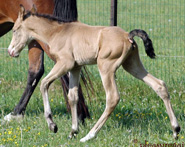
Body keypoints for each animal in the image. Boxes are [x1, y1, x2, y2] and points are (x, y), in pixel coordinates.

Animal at [7, 6, 180, 142]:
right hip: (132, 65)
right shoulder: (75, 68)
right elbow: (73, 96)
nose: (10, 51)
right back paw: (176, 130)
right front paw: (73, 131)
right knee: (159, 85)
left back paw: (89, 135)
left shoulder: (64, 63)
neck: (58, 32)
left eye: (15, 30)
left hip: (106, 67)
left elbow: (44, 84)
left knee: (112, 97)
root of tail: (128, 36)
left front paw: (52, 125)